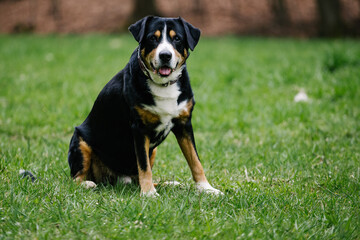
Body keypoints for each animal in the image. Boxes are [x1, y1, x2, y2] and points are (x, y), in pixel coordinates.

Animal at [66, 16, 221, 197]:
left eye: (177, 38)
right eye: (153, 38)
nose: (165, 55)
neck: (163, 85)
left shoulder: (184, 124)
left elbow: (195, 161)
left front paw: (206, 188)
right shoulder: (139, 129)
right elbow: (144, 166)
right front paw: (149, 194)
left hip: (153, 151)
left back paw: (168, 183)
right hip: (81, 142)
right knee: (75, 178)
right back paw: (88, 184)